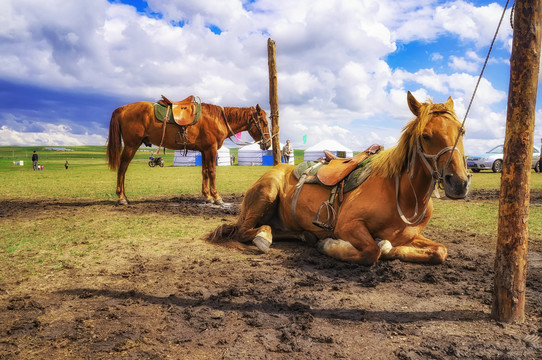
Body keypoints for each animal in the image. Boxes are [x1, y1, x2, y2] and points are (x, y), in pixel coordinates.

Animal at [108, 100, 272, 205]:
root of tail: (122, 108)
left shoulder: (205, 150)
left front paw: (207, 197)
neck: (218, 119)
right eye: (264, 122)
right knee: (122, 169)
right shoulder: (211, 149)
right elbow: (212, 172)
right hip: (131, 145)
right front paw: (217, 197)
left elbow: (205, 172)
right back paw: (121, 198)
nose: (268, 143)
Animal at [208, 91, 472, 266]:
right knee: (245, 231)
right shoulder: (348, 225)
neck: (404, 198)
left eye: (462, 131)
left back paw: (304, 235)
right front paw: (331, 245)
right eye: (426, 136)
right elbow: (370, 252)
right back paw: (264, 237)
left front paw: (388, 247)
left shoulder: (412, 236)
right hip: (267, 192)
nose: (458, 182)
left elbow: (439, 251)